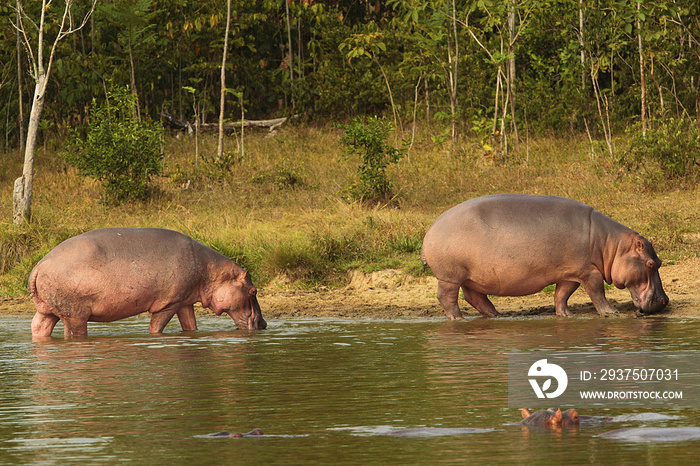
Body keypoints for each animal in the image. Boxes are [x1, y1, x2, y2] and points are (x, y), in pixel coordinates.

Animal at [28, 228, 266, 336]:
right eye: (254, 291)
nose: (264, 324)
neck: (211, 271)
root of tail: (40, 265)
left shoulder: (185, 301)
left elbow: (190, 325)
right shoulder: (169, 303)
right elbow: (156, 327)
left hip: (47, 309)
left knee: (38, 326)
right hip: (75, 314)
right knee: (73, 332)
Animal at [418, 192, 668, 316]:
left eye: (659, 261)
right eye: (650, 264)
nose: (665, 301)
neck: (612, 246)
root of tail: (430, 230)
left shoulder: (570, 273)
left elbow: (561, 295)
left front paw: (565, 315)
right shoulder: (589, 272)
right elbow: (597, 293)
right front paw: (611, 312)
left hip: (473, 277)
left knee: (475, 297)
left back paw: (497, 315)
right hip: (450, 276)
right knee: (447, 298)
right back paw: (458, 318)